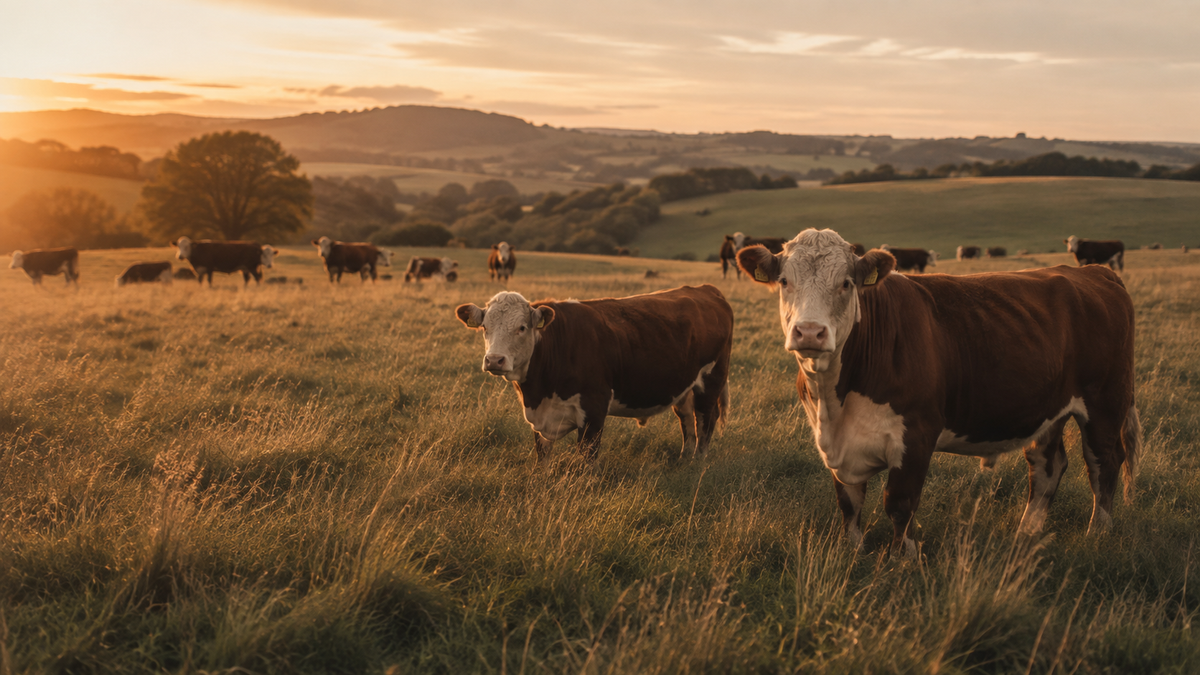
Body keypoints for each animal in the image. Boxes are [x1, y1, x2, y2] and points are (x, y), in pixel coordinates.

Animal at [455, 285, 733, 460]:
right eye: (485, 327)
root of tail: (705, 289)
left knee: (704, 422)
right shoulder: (540, 420)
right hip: (685, 386)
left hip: (711, 379)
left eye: (522, 327)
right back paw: (684, 459)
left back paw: (697, 463)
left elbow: (586, 462)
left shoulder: (594, 409)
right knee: (686, 420)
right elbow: (542, 459)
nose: (494, 360)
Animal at [736, 229, 1139, 557]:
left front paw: (903, 559)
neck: (835, 404)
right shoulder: (837, 447)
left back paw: (1098, 533)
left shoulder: (916, 434)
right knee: (1046, 466)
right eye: (784, 281)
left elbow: (899, 504)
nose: (809, 332)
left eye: (847, 283)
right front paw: (855, 553)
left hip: (1105, 401)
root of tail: (1093, 272)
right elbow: (849, 505)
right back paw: (1026, 534)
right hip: (1049, 408)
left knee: (1104, 461)